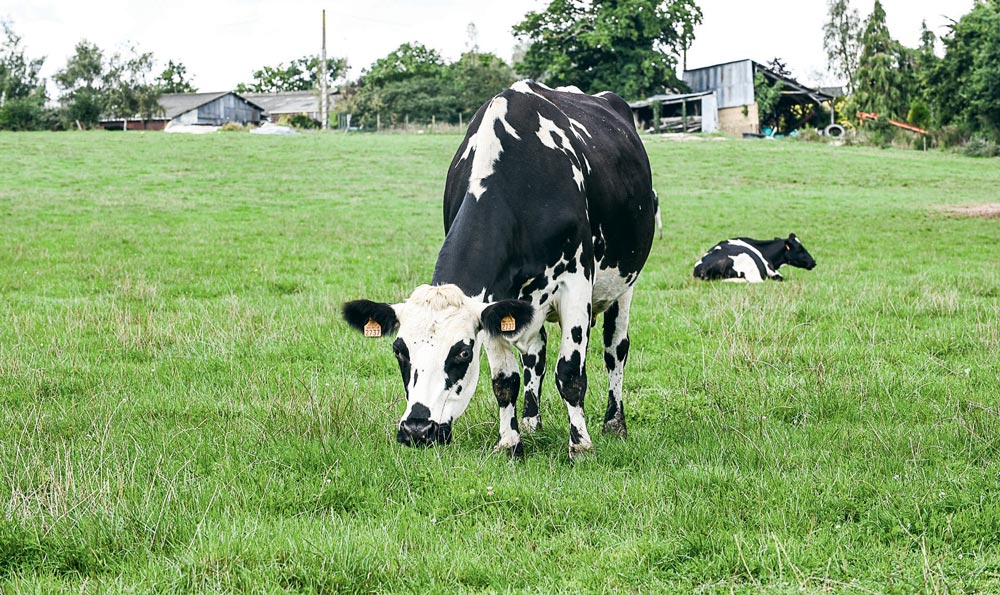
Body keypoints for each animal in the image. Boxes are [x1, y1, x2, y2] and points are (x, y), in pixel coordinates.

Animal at [340, 79, 660, 458]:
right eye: (399, 350)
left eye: (462, 352)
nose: (417, 429)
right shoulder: (493, 299)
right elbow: (505, 380)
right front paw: (510, 443)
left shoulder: (576, 282)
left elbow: (570, 373)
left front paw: (580, 445)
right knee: (536, 354)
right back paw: (532, 423)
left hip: (623, 286)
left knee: (615, 350)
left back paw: (614, 424)